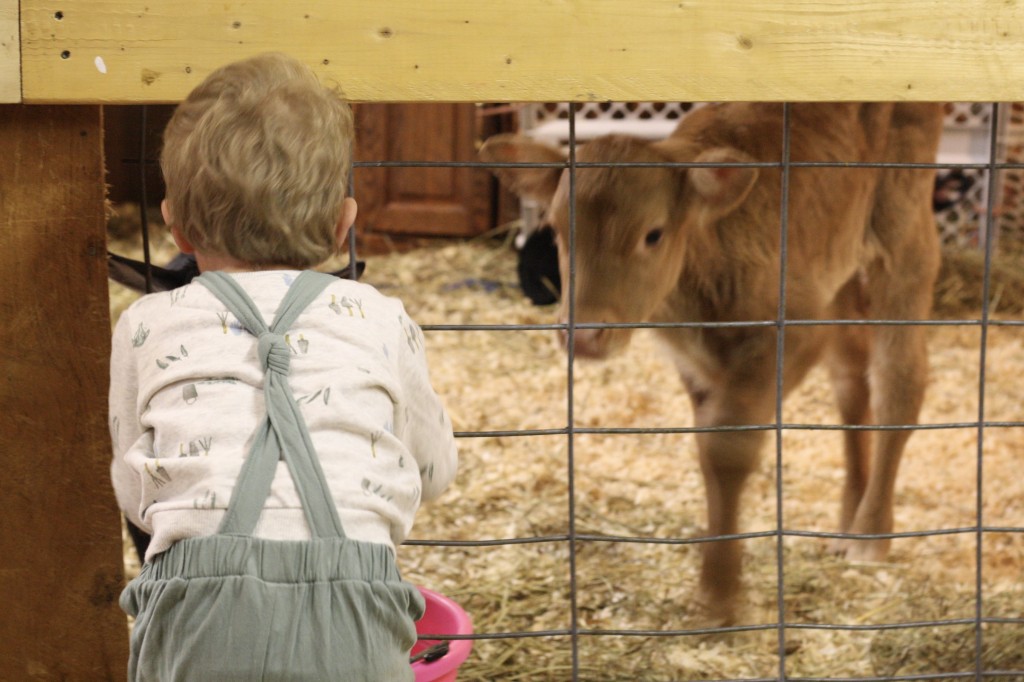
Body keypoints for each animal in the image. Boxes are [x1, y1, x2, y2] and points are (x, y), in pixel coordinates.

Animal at [479, 102, 942, 622]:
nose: (583, 335)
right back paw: (849, 514)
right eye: (557, 230)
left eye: (653, 234)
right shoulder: (696, 362)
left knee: (897, 383)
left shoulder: (791, 335)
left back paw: (870, 533)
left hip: (902, 235)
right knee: (851, 380)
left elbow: (728, 448)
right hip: (838, 269)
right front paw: (715, 579)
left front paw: (721, 590)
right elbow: (708, 451)